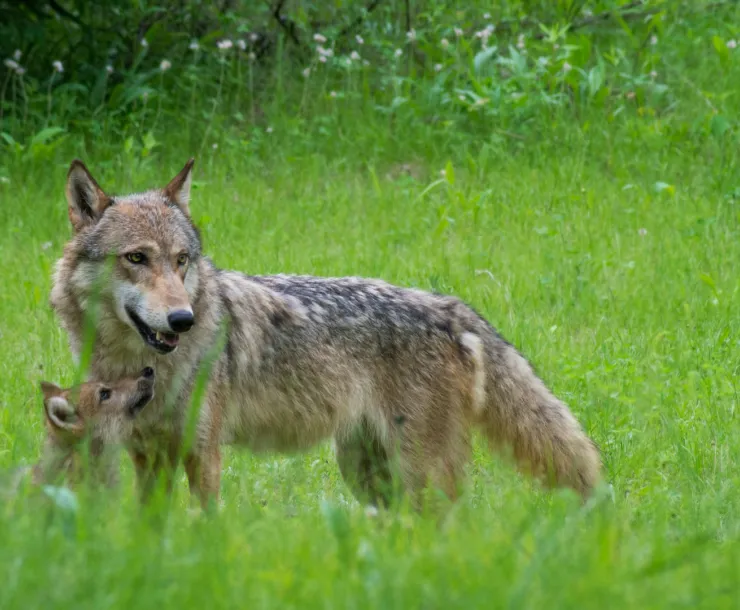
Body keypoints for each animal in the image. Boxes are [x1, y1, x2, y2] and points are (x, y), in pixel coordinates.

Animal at [50, 159, 601, 509]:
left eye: (181, 260)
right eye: (136, 258)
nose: (182, 319)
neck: (142, 366)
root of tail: (450, 306)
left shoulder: (202, 453)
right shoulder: (148, 457)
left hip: (415, 474)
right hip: (368, 475)